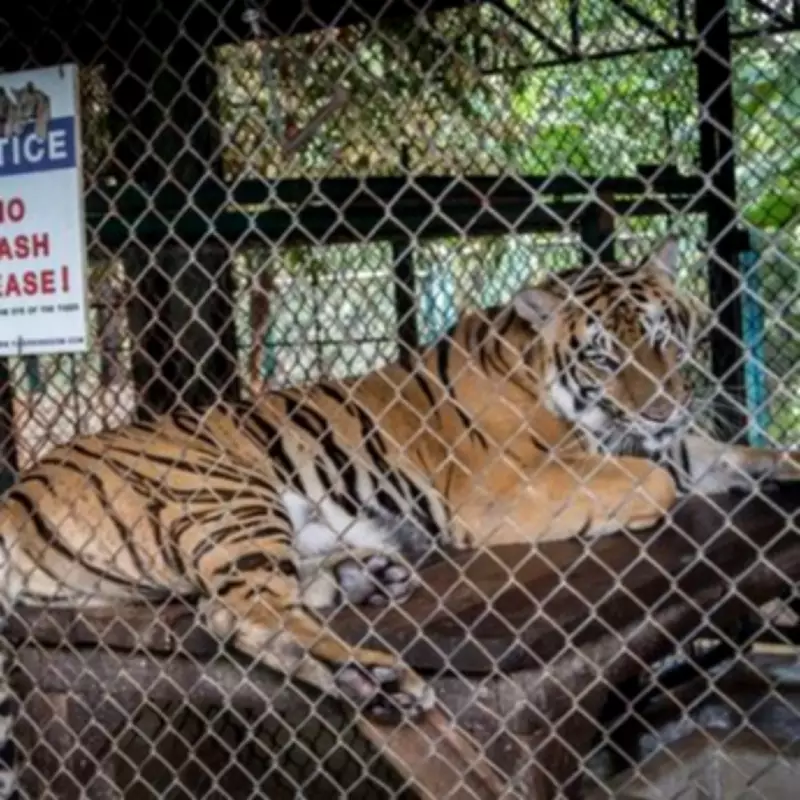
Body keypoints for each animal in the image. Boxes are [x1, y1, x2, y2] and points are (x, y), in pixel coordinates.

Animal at [0, 238, 796, 798]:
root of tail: (20, 487)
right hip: (228, 488)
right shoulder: (504, 492)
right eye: (604, 357)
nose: (662, 405)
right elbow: (657, 484)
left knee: (237, 599)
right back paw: (376, 678)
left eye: (663, 338)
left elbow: (727, 453)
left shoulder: (670, 443)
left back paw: (368, 574)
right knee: (239, 615)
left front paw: (775, 464)